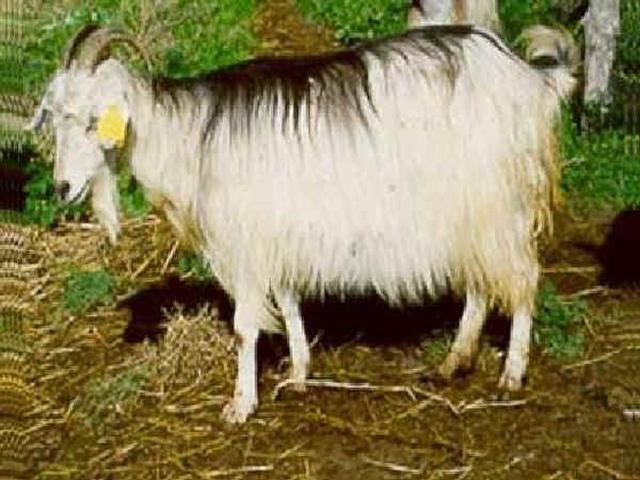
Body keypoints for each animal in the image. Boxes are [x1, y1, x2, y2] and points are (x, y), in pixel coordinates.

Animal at [29, 24, 577, 423]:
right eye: (54, 119)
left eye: (92, 121)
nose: (62, 188)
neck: (190, 138)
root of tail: (528, 77)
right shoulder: (276, 235)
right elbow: (290, 302)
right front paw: (297, 373)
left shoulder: (246, 244)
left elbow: (245, 327)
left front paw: (240, 405)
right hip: (472, 213)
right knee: (482, 283)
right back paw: (454, 361)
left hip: (500, 203)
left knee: (523, 279)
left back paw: (511, 374)